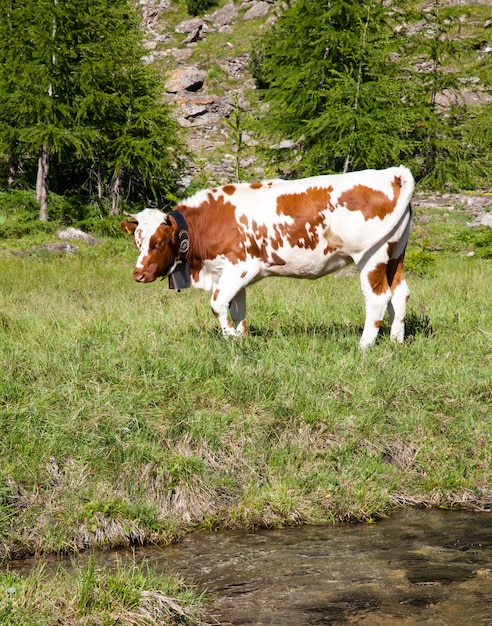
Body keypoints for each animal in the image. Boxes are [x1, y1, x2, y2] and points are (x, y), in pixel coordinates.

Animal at [121, 166, 414, 348]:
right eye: (137, 241)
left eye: (157, 242)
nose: (139, 274)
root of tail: (392, 173)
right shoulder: (230, 273)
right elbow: (237, 308)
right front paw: (241, 337)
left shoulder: (240, 266)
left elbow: (218, 304)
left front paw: (232, 339)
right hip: (395, 254)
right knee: (399, 294)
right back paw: (395, 342)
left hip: (371, 256)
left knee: (377, 298)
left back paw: (364, 345)